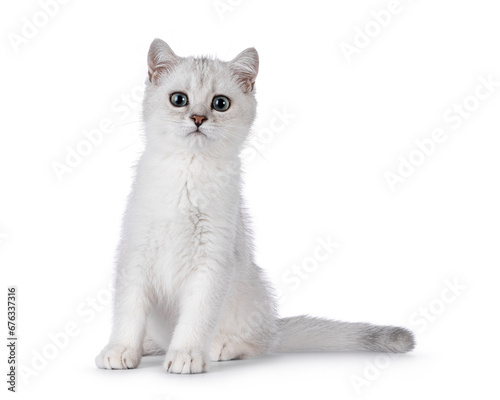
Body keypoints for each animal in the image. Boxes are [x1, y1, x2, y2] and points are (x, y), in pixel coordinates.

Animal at [95, 39, 416, 374]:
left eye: (220, 103)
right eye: (179, 100)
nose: (198, 118)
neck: (188, 173)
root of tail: (275, 326)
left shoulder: (211, 261)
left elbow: (195, 320)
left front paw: (186, 355)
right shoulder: (135, 255)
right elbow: (128, 314)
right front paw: (121, 350)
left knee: (259, 342)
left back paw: (220, 346)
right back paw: (149, 346)